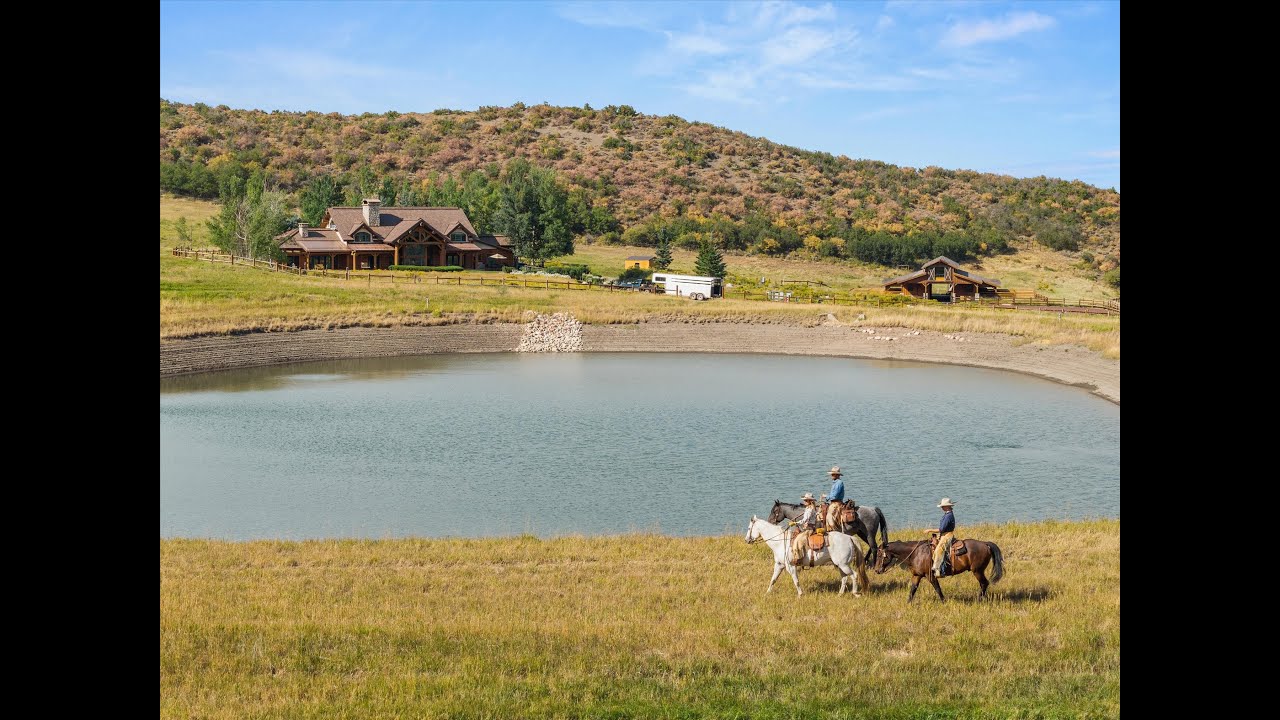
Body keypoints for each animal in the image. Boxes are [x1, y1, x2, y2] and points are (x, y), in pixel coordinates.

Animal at [872, 538, 1005, 602]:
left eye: (879, 555)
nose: (877, 570)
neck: (916, 553)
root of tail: (985, 544)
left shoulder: (930, 575)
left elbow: (937, 588)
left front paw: (943, 601)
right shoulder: (917, 575)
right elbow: (912, 589)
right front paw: (908, 603)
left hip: (977, 571)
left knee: (984, 583)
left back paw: (979, 600)